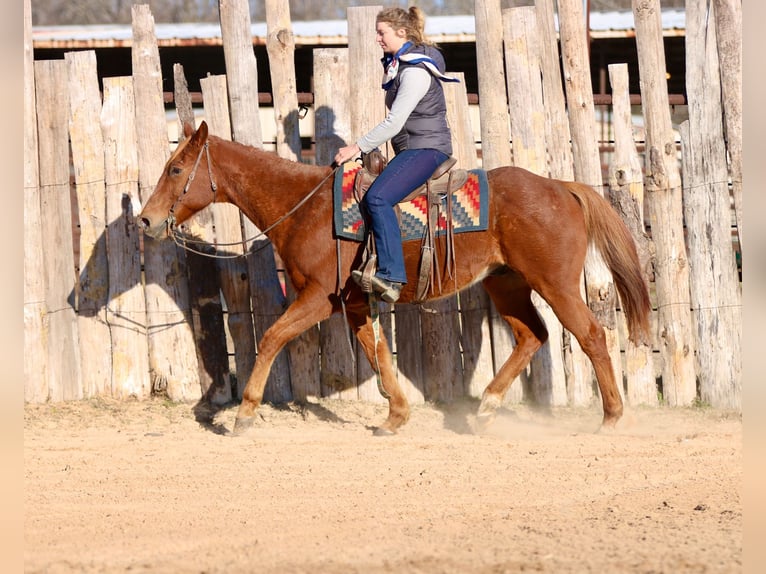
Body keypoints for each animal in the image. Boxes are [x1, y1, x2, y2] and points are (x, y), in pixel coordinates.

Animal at [139, 121, 651, 436]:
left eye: (176, 169)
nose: (145, 220)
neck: (306, 208)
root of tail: (562, 186)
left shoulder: (319, 298)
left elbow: (271, 338)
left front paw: (244, 413)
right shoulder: (354, 302)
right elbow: (377, 351)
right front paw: (396, 416)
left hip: (555, 283)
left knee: (591, 335)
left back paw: (611, 417)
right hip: (505, 281)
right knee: (532, 335)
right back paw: (486, 407)